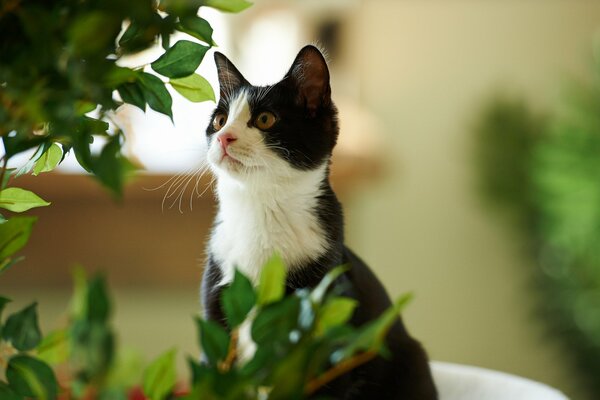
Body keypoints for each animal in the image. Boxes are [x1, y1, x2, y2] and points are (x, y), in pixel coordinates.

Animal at [202, 45, 436, 398]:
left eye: (265, 119)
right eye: (219, 120)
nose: (224, 138)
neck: (260, 211)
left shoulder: (326, 325)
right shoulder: (217, 302)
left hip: (410, 359)